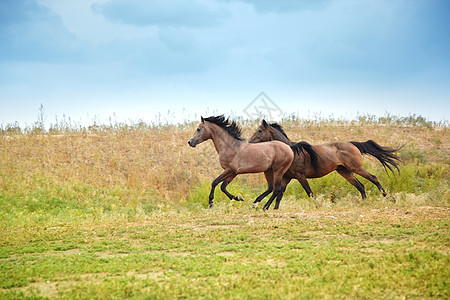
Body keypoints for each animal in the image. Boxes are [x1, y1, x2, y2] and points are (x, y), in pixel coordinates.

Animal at [250, 119, 400, 199]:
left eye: (259, 130)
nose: (250, 142)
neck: (291, 151)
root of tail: (352, 144)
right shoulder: (288, 177)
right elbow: (279, 192)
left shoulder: (300, 176)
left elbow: (309, 193)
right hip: (344, 171)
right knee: (360, 186)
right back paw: (364, 201)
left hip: (356, 168)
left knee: (373, 178)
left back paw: (386, 196)